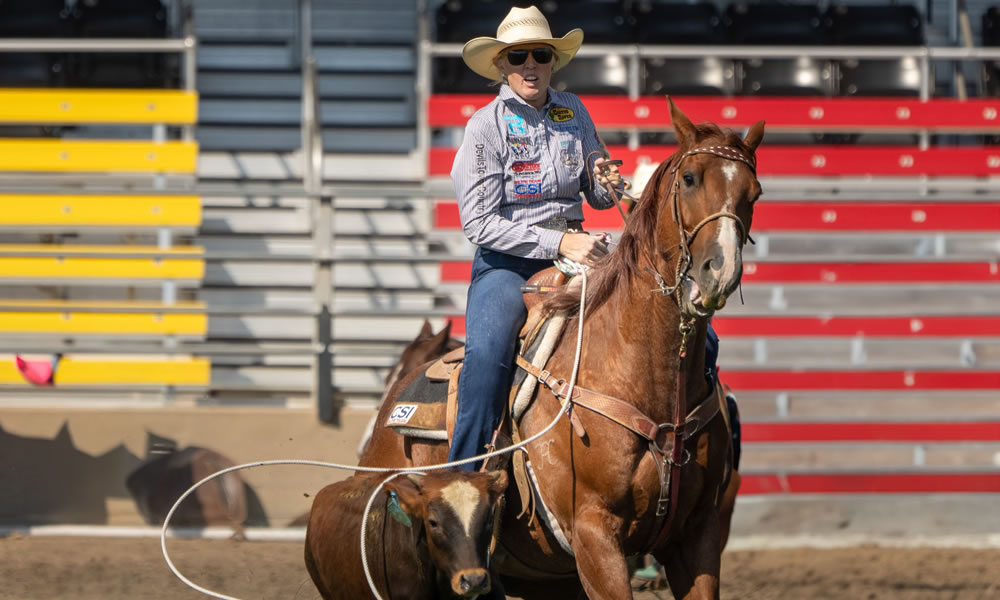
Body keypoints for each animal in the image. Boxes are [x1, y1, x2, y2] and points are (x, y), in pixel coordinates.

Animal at [364, 101, 760, 596]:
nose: (719, 272)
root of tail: (391, 411)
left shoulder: (698, 536)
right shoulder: (594, 536)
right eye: (689, 178)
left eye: (754, 193)